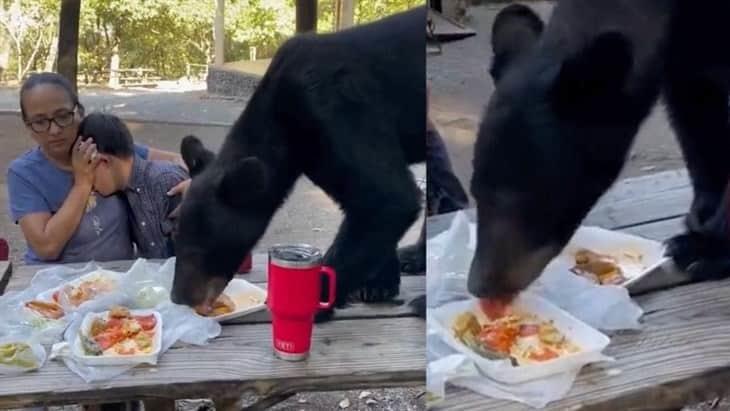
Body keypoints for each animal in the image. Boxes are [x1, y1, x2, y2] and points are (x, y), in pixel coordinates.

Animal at [167, 7, 424, 322]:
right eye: (176, 233)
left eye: (205, 246)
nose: (179, 298)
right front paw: (379, 283)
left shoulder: (337, 109)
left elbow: (387, 197)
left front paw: (315, 303)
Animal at [464, 1, 728, 300]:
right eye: (476, 192)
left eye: (528, 200)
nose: (480, 286)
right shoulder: (684, 59)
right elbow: (697, 118)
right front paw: (701, 215)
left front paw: (707, 249)